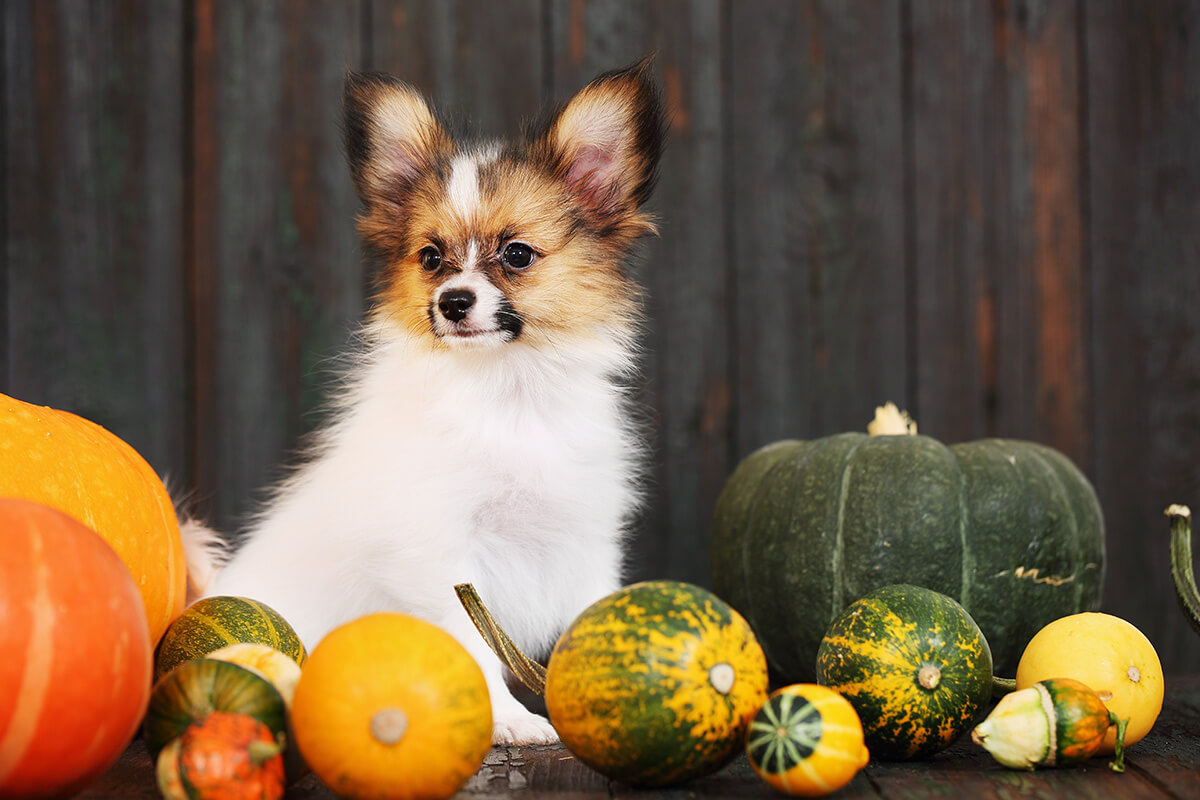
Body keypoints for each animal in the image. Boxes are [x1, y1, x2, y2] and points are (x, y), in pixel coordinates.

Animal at [184, 61, 667, 743]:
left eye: (517, 254)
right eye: (431, 258)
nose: (453, 302)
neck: (505, 393)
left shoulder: (586, 537)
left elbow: (590, 620)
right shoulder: (438, 553)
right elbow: (474, 645)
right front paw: (510, 720)